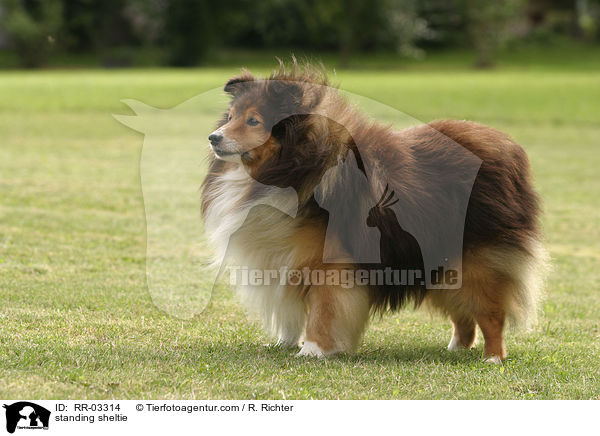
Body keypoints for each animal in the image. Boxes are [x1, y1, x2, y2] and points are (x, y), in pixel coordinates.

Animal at [202, 60, 548, 362]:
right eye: (230, 116)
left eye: (254, 121)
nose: (213, 137)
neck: (300, 163)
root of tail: (508, 148)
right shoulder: (281, 255)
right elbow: (290, 306)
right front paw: (286, 343)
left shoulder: (330, 263)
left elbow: (324, 309)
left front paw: (313, 350)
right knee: (463, 315)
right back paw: (456, 349)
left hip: (476, 261)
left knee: (491, 313)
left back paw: (493, 358)